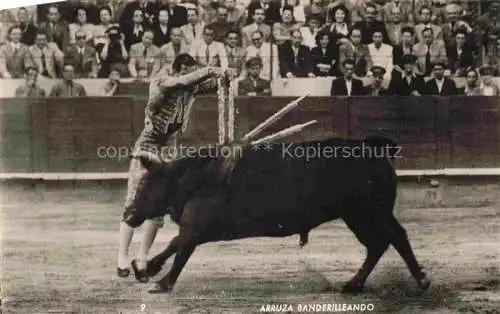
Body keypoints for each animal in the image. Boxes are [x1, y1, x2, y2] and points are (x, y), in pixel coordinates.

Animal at [125, 136, 430, 294]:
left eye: (145, 185)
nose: (128, 214)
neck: (191, 178)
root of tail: (373, 148)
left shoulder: (195, 227)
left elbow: (180, 251)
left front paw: (162, 282)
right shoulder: (195, 228)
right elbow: (173, 244)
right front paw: (147, 269)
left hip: (370, 212)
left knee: (394, 237)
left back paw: (421, 280)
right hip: (358, 216)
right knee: (378, 244)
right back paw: (354, 283)